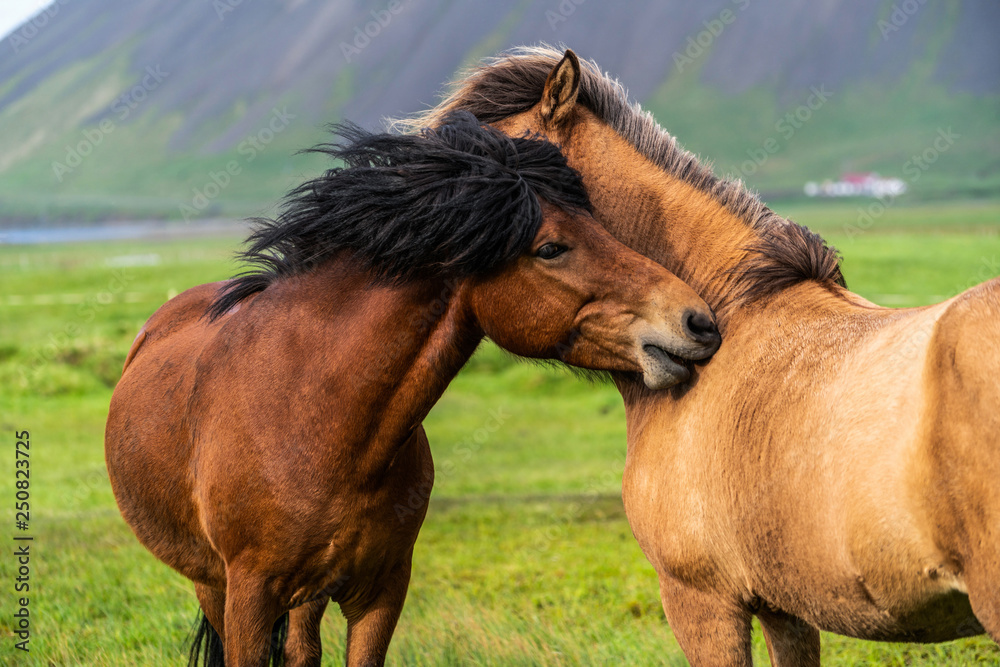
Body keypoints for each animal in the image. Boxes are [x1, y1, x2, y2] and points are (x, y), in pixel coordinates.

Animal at [107, 112, 720, 664]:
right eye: (550, 247)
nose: (699, 322)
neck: (311, 414)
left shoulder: (381, 593)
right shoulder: (249, 597)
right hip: (212, 583)